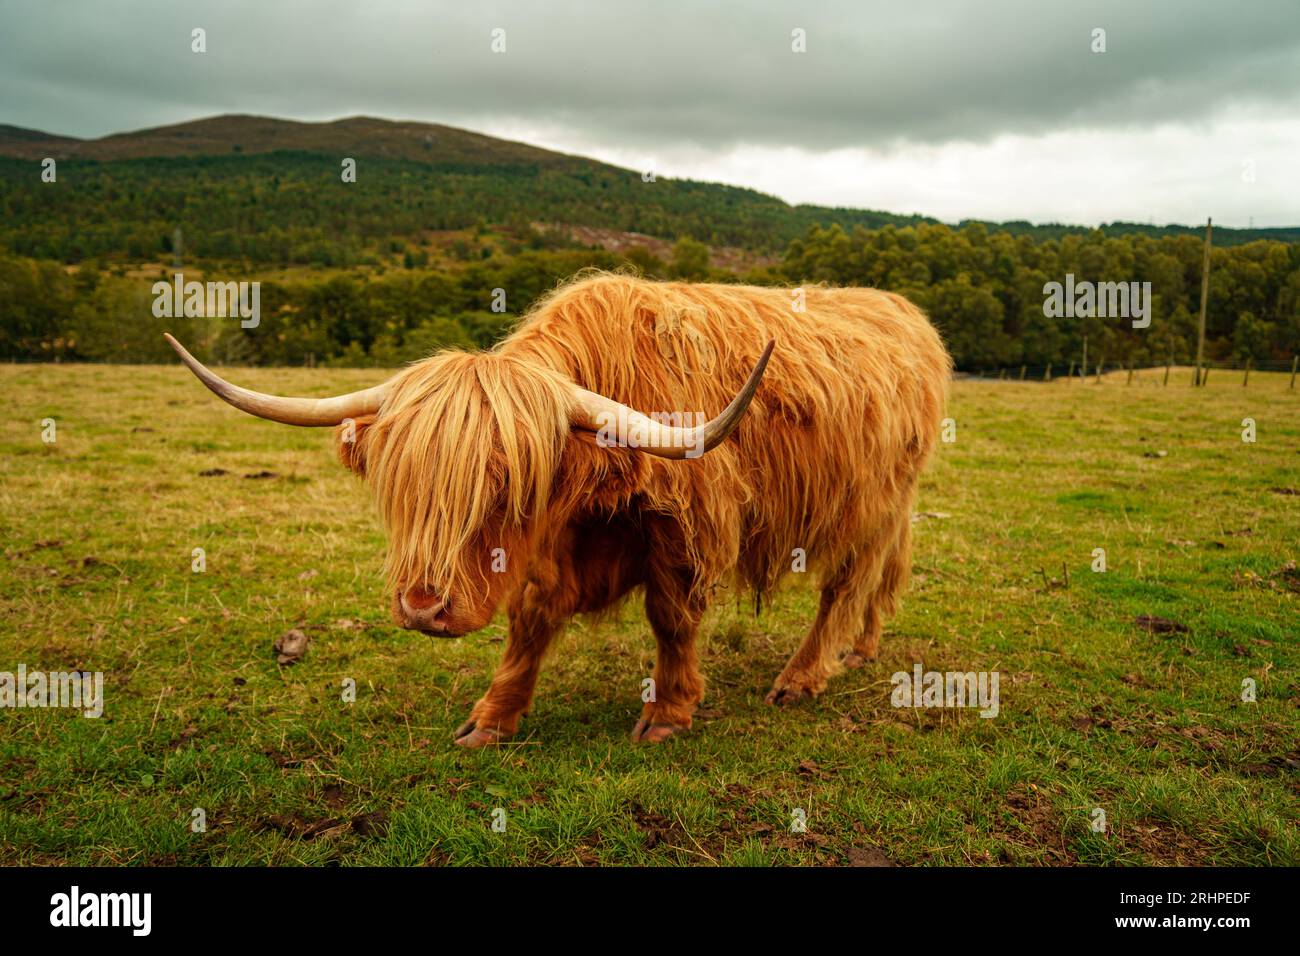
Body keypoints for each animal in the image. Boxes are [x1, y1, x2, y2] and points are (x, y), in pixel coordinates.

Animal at [166, 273, 951, 746]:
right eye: (404, 488)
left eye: (507, 487)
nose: (422, 607)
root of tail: (901, 310)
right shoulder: (548, 554)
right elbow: (531, 623)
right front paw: (491, 718)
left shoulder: (684, 530)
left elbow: (671, 622)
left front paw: (667, 714)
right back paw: (861, 646)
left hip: (874, 504)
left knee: (847, 582)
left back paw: (804, 676)